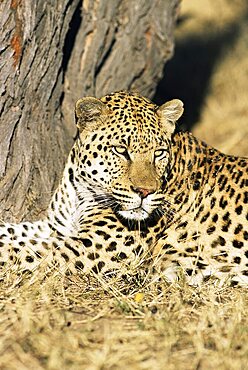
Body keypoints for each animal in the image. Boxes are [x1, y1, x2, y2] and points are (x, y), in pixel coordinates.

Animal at [0, 92, 247, 286]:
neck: (81, 190)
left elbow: (25, 250)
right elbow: (18, 232)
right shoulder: (56, 227)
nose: (145, 192)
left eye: (159, 153)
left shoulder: (89, 247)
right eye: (121, 150)